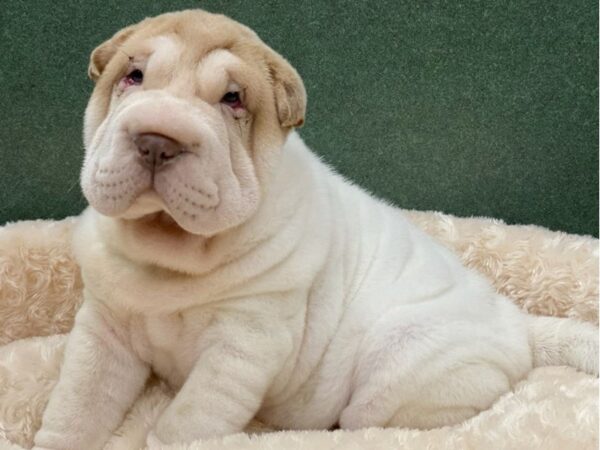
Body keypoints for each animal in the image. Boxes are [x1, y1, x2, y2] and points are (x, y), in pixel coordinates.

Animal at [34, 10, 600, 450]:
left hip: (399, 374)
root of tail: (517, 321)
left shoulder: (240, 348)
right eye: (133, 76)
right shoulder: (103, 328)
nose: (157, 139)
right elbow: (77, 403)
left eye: (233, 98)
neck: (166, 250)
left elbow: (187, 420)